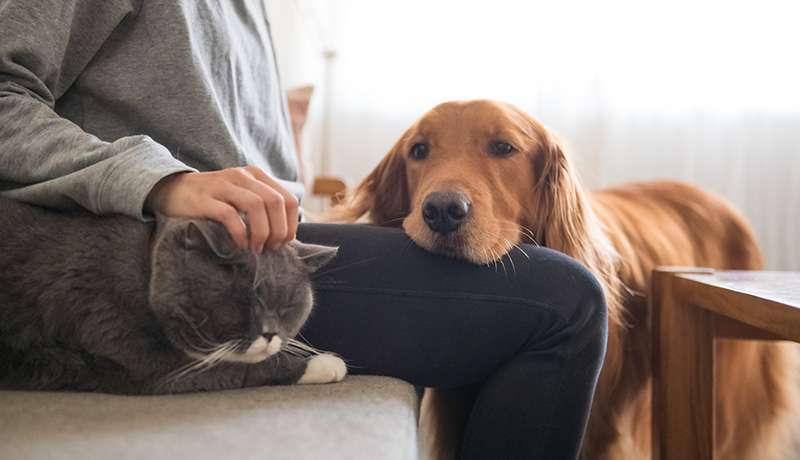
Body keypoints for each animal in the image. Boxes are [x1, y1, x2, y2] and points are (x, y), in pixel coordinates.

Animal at [0, 196, 344, 394]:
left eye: (287, 306)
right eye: (244, 302)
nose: (270, 334)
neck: (145, 270)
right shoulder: (145, 362)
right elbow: (241, 368)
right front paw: (326, 364)